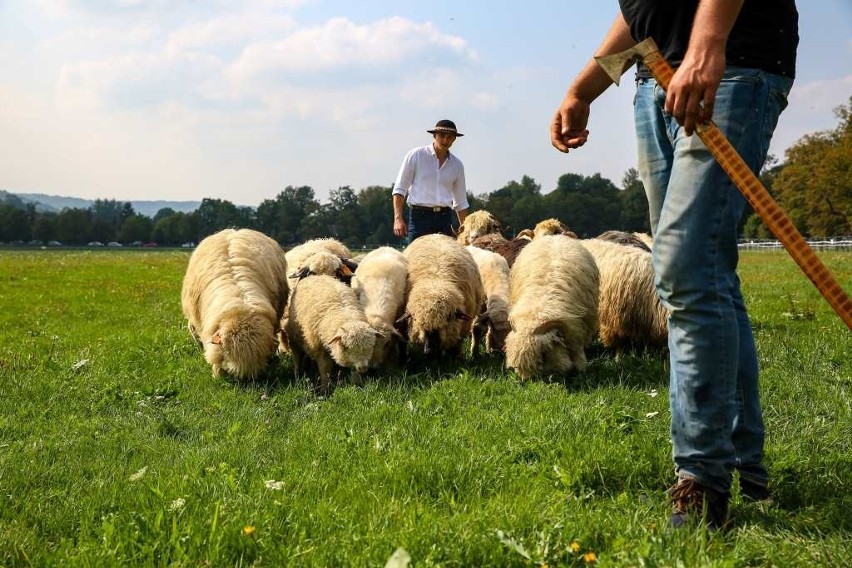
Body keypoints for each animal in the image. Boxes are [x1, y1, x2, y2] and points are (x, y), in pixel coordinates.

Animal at [506, 235, 600, 382]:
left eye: (542, 355)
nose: (525, 380)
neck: (539, 309)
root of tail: (555, 236)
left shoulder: (577, 328)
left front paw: (580, 368)